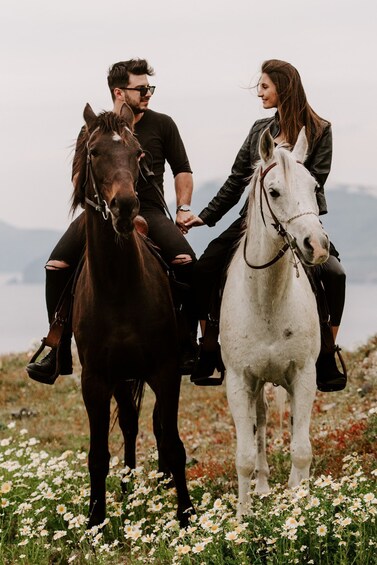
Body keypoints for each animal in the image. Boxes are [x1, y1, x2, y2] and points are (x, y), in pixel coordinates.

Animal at [71, 102, 194, 528]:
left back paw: (160, 481)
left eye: (136, 153)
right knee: (128, 421)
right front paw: (95, 521)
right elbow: (97, 454)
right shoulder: (95, 380)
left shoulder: (166, 370)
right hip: (122, 378)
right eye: (93, 153)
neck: (118, 287)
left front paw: (186, 516)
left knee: (154, 424)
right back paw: (128, 486)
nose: (125, 207)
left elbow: (173, 443)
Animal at [220, 128, 328, 516]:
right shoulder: (239, 382)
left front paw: (303, 504)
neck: (266, 300)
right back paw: (264, 488)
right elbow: (244, 455)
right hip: (256, 385)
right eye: (274, 191)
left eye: (314, 185)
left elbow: (301, 449)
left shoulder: (304, 375)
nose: (317, 245)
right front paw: (243, 514)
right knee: (262, 423)